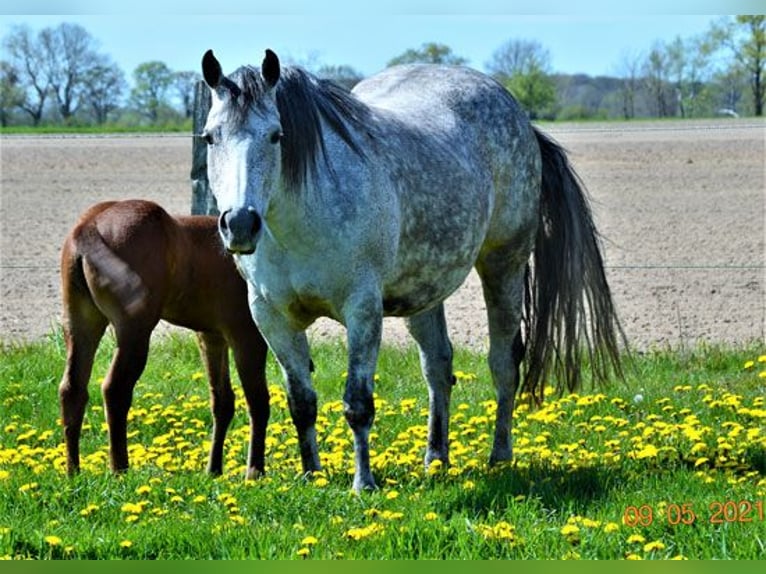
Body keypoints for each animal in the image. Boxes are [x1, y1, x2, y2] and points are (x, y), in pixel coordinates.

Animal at [201, 49, 628, 492]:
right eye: (210, 137)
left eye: (276, 136)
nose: (240, 224)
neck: (302, 216)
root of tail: (521, 119)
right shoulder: (271, 316)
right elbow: (302, 403)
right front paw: (311, 475)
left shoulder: (362, 310)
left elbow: (357, 404)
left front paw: (364, 484)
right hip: (424, 293)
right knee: (438, 368)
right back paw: (436, 459)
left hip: (503, 266)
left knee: (503, 364)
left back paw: (499, 457)